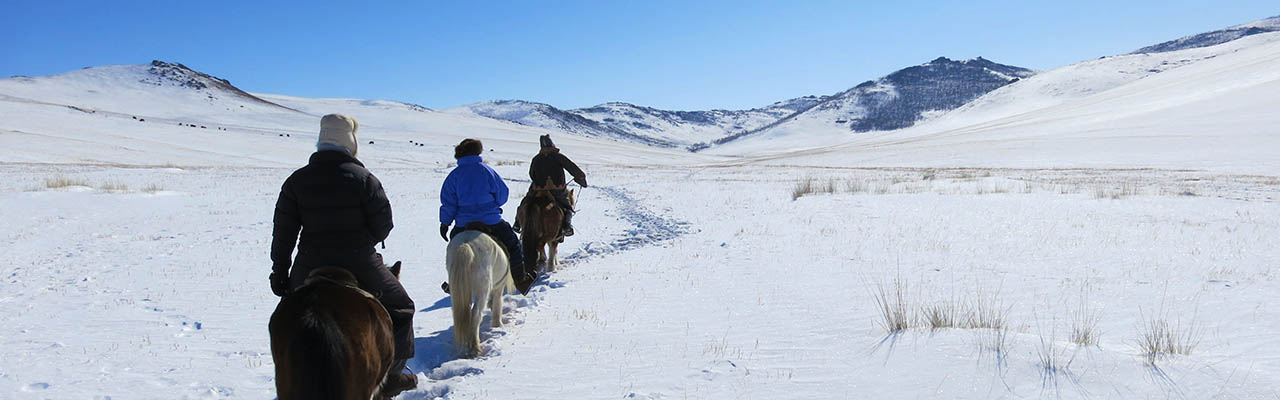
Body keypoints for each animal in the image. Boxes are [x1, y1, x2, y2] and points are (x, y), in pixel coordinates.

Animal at [445, 229, 514, 358]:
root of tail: (465, 243)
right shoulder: (499, 287)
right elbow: (497, 306)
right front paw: (497, 325)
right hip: (482, 289)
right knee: (476, 314)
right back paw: (475, 348)